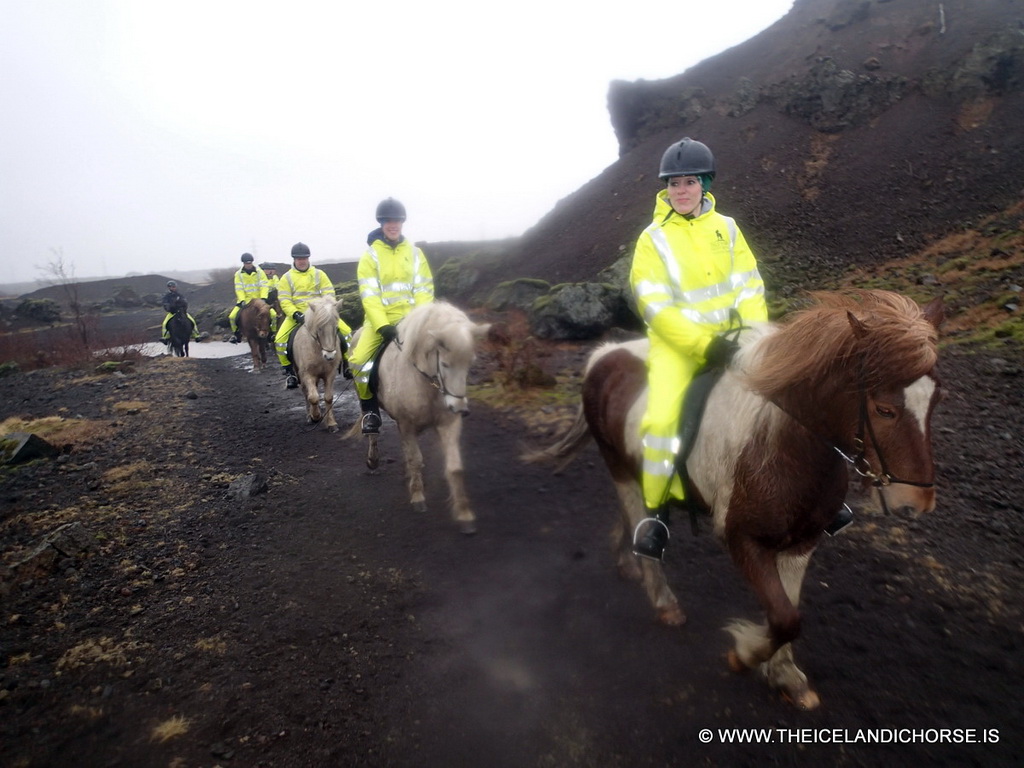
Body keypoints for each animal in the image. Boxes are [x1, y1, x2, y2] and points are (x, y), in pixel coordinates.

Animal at [294, 296, 346, 436]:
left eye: (336, 328)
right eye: (319, 328)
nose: (329, 356)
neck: (317, 350)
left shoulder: (330, 374)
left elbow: (328, 397)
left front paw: (331, 423)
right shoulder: (307, 374)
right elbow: (313, 397)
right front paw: (315, 416)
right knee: (306, 392)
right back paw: (309, 416)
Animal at [348, 303, 491, 536]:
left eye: (470, 363)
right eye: (445, 364)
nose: (460, 408)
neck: (425, 381)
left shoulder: (448, 423)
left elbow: (455, 467)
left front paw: (464, 514)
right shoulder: (406, 423)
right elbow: (415, 458)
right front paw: (418, 497)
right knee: (373, 433)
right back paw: (373, 459)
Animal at [528, 292, 942, 708]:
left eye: (935, 401)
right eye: (884, 409)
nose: (916, 501)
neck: (781, 445)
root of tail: (605, 355)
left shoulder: (802, 544)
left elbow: (789, 610)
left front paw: (785, 675)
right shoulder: (743, 540)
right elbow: (785, 619)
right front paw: (745, 655)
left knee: (634, 517)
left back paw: (627, 559)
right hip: (620, 468)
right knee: (635, 517)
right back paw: (663, 599)